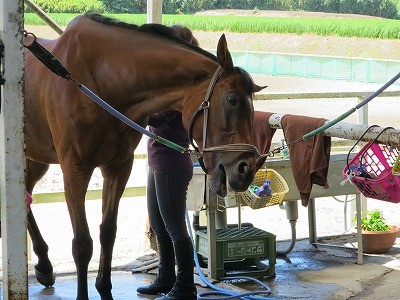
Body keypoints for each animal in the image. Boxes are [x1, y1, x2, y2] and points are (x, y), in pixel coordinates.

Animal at [23, 12, 264, 298]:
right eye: (232, 100)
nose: (245, 168)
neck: (95, 81)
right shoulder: (75, 170)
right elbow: (82, 244)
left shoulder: (118, 167)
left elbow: (108, 233)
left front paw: (104, 288)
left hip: (35, 159)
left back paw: (44, 266)